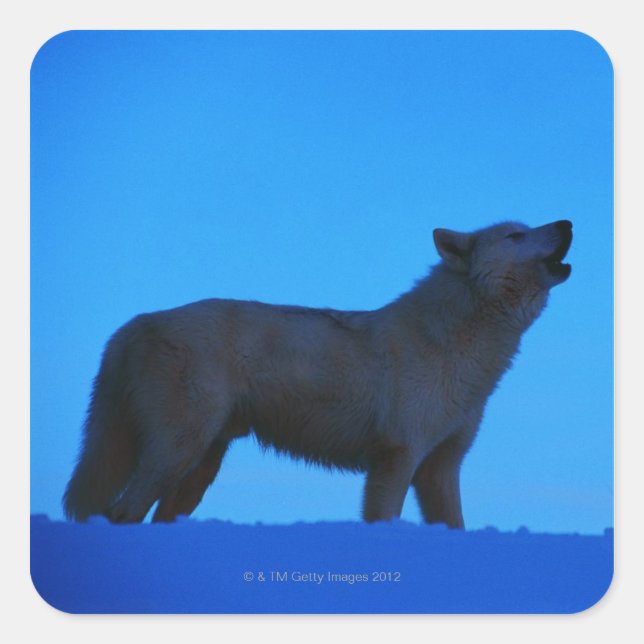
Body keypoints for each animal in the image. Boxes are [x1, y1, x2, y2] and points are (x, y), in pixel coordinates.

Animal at [63, 219, 572, 527]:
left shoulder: (440, 469)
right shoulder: (397, 459)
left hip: (198, 467)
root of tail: (135, 323)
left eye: (527, 228)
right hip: (176, 452)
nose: (567, 222)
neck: (455, 343)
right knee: (120, 512)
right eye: (514, 236)